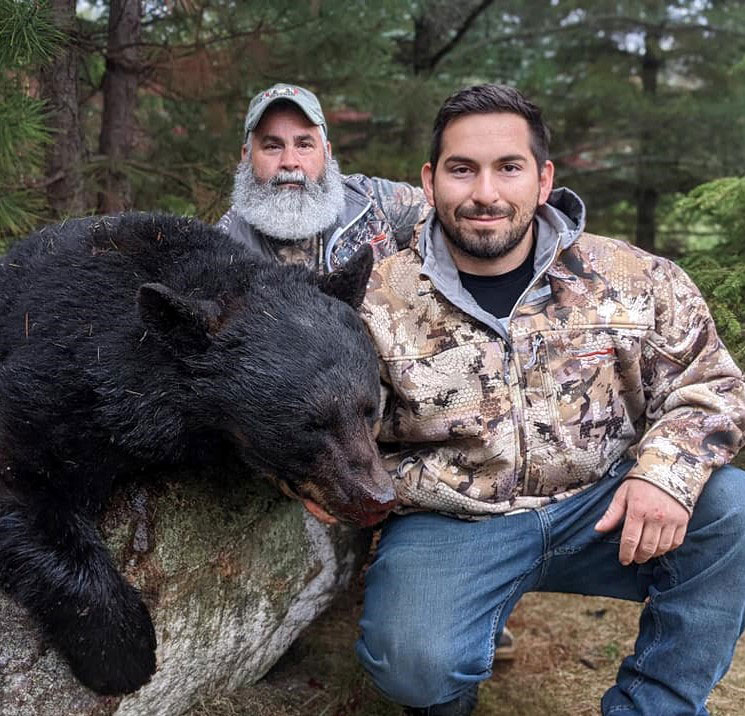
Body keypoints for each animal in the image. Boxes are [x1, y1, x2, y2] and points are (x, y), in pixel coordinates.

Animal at [0, 213, 396, 696]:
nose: (377, 499)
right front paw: (123, 650)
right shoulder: (57, 372)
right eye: (310, 424)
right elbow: (23, 472)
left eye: (369, 408)